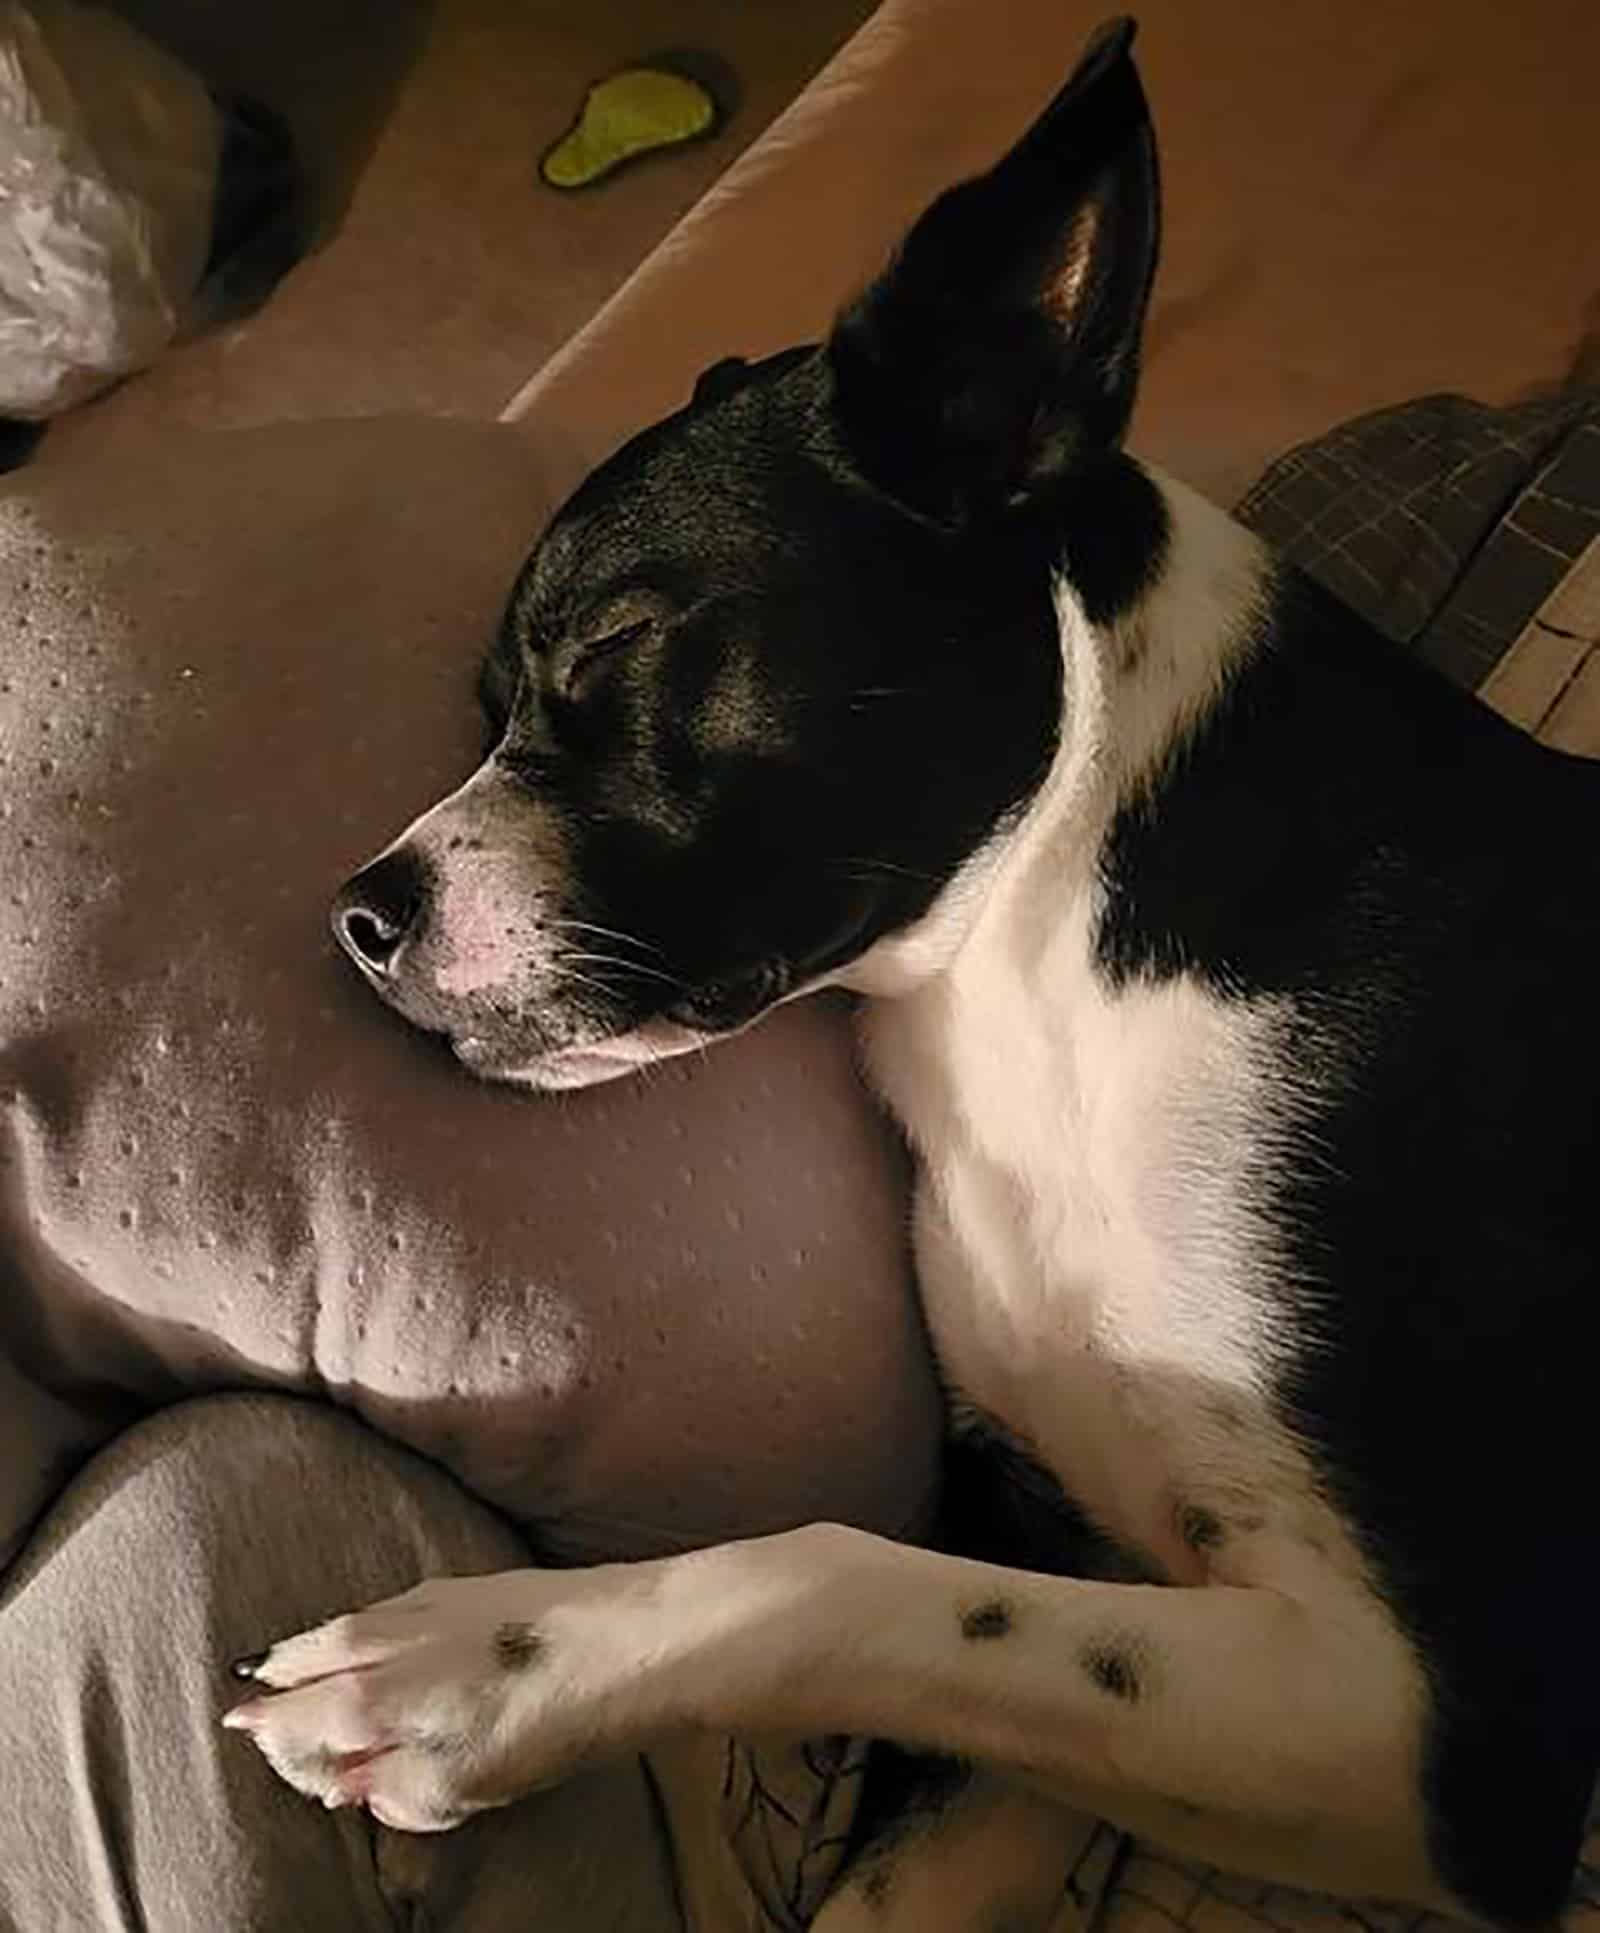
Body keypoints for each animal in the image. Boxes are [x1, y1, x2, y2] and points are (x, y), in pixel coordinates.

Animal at [225, 22, 1600, 1925]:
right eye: (486, 701)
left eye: (612, 647)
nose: (359, 913)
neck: (1037, 976)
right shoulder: (1111, 1588)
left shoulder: (1429, 1729)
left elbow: (846, 1573)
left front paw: (476, 1672)